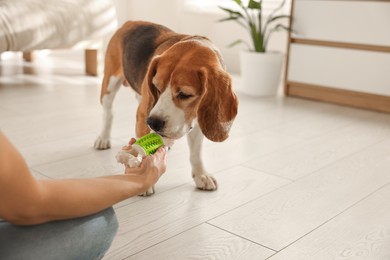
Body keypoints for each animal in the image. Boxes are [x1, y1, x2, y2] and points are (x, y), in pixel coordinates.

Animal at [96, 21, 239, 194]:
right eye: (156, 87)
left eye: (185, 94)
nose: (153, 123)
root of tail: (130, 23)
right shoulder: (143, 113)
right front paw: (144, 180)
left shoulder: (198, 119)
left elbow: (196, 153)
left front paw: (201, 175)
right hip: (109, 84)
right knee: (108, 113)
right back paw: (103, 138)